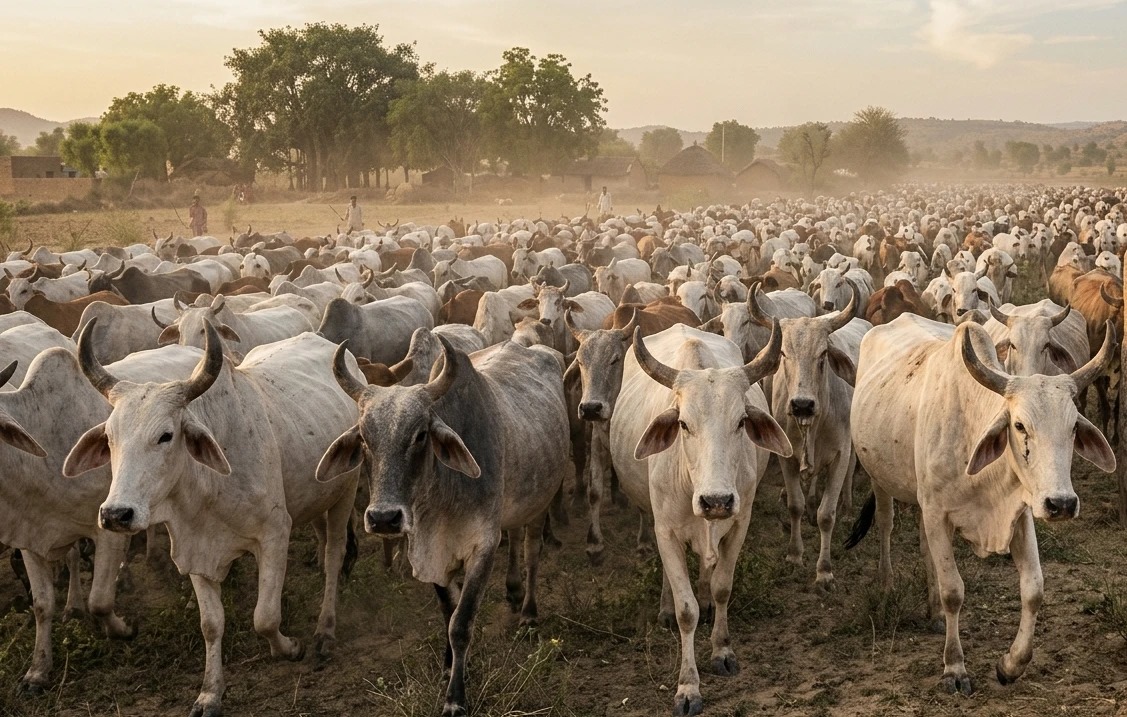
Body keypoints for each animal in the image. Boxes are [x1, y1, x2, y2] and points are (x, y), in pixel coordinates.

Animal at [64, 323, 363, 717]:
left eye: (165, 435)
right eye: (110, 438)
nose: (116, 514)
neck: (207, 488)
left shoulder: (275, 533)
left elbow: (265, 617)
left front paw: (288, 648)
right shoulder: (195, 549)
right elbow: (211, 624)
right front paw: (209, 693)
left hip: (346, 492)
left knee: (334, 555)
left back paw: (325, 631)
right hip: (315, 498)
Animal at [316, 337, 570, 717]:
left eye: (421, 435)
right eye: (363, 437)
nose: (383, 518)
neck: (442, 499)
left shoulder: (483, 546)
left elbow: (461, 623)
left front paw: (455, 698)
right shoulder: (428, 552)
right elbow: (447, 610)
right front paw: (449, 666)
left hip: (540, 501)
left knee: (531, 553)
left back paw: (527, 612)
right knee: (512, 540)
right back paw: (512, 592)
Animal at [609, 323, 791, 716]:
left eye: (741, 421)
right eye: (682, 424)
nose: (716, 501)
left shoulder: (740, 523)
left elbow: (723, 586)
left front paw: (722, 651)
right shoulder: (665, 531)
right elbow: (686, 611)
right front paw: (688, 687)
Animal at [849, 315, 1115, 696]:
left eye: (1074, 428)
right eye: (1019, 425)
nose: (1061, 503)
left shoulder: (1020, 514)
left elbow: (1033, 589)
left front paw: (1011, 665)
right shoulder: (937, 512)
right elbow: (953, 591)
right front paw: (954, 667)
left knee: (924, 546)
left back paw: (933, 611)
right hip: (878, 477)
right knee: (886, 524)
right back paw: (887, 585)